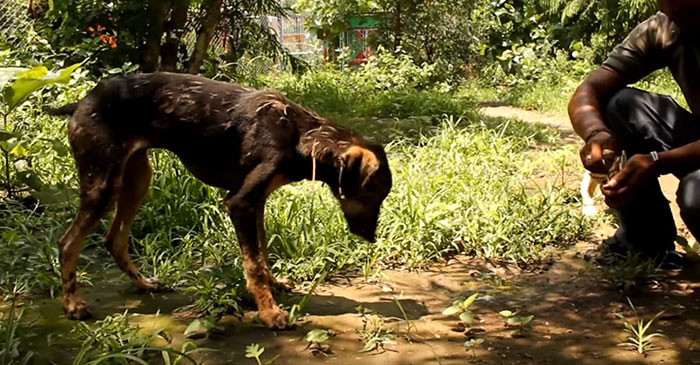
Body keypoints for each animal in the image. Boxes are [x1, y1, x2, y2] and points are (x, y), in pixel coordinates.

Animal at [49, 72, 394, 328]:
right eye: (373, 194)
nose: (370, 238)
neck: (298, 134)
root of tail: (82, 102)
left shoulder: (256, 202)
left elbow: (263, 252)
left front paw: (274, 286)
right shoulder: (240, 202)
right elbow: (254, 264)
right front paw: (269, 312)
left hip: (137, 180)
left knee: (115, 239)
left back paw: (144, 284)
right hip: (103, 185)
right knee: (68, 243)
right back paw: (72, 304)